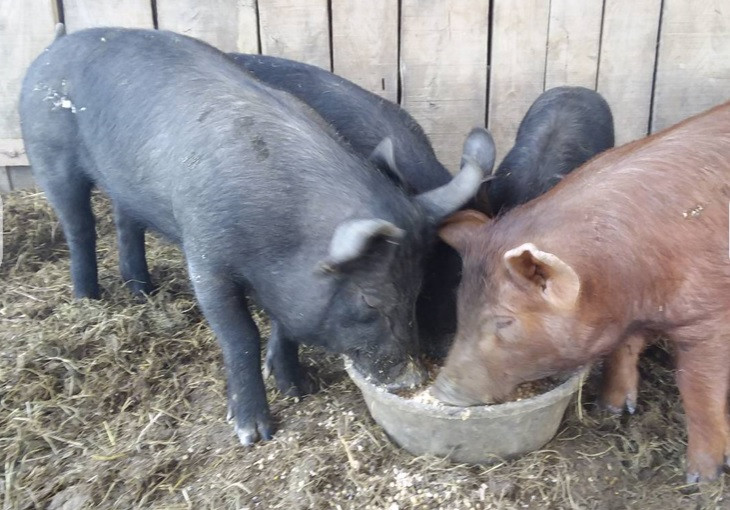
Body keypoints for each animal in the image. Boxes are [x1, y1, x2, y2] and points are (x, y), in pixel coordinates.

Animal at [432, 101, 730, 483]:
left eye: (504, 321)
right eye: (460, 307)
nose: (441, 390)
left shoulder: (709, 319)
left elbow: (696, 387)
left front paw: (701, 478)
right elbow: (622, 349)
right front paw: (612, 409)